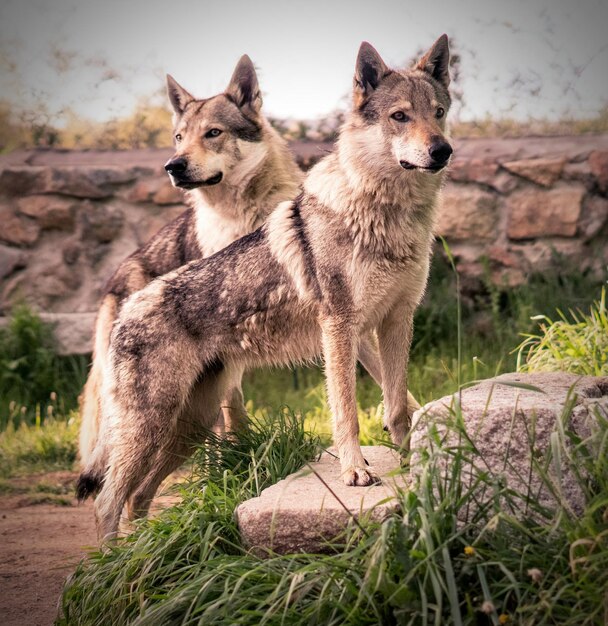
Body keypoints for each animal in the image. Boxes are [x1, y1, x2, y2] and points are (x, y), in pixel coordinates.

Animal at [94, 36, 452, 540]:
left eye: (438, 112)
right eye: (400, 116)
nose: (442, 150)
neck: (387, 213)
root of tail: (126, 306)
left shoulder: (397, 320)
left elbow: (397, 403)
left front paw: (407, 456)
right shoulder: (339, 328)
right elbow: (347, 410)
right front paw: (355, 471)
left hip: (189, 429)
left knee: (136, 498)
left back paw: (142, 551)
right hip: (152, 427)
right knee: (106, 503)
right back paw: (113, 561)